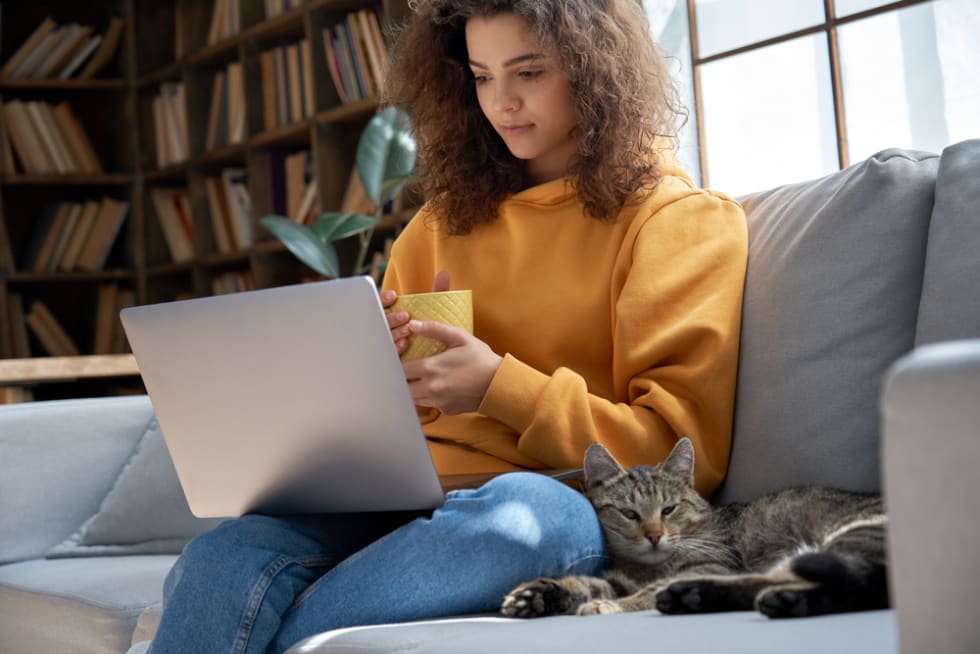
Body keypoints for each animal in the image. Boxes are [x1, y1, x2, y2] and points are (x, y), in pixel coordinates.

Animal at [502, 440, 892, 620]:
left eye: (668, 509)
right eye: (629, 514)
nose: (654, 535)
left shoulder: (714, 564)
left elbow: (642, 594)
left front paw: (606, 606)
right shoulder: (620, 578)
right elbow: (589, 583)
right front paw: (539, 594)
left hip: (847, 539)